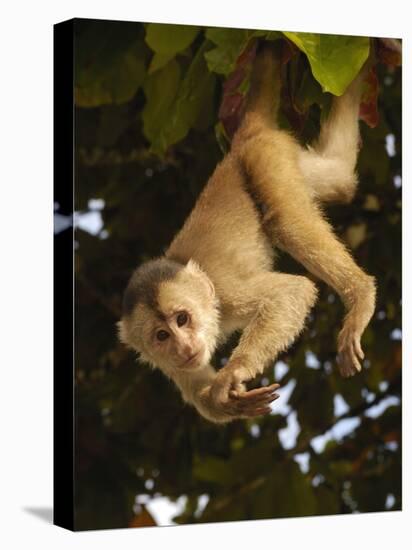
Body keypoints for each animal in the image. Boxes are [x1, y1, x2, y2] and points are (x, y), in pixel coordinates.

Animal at [116, 44, 376, 426]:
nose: (183, 346)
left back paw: (360, 295)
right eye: (162, 336)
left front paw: (234, 371)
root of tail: (241, 141)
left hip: (265, 155)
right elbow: (197, 391)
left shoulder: (226, 293)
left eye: (183, 318)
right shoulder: (171, 363)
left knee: (285, 220)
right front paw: (224, 402)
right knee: (340, 181)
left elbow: (292, 292)